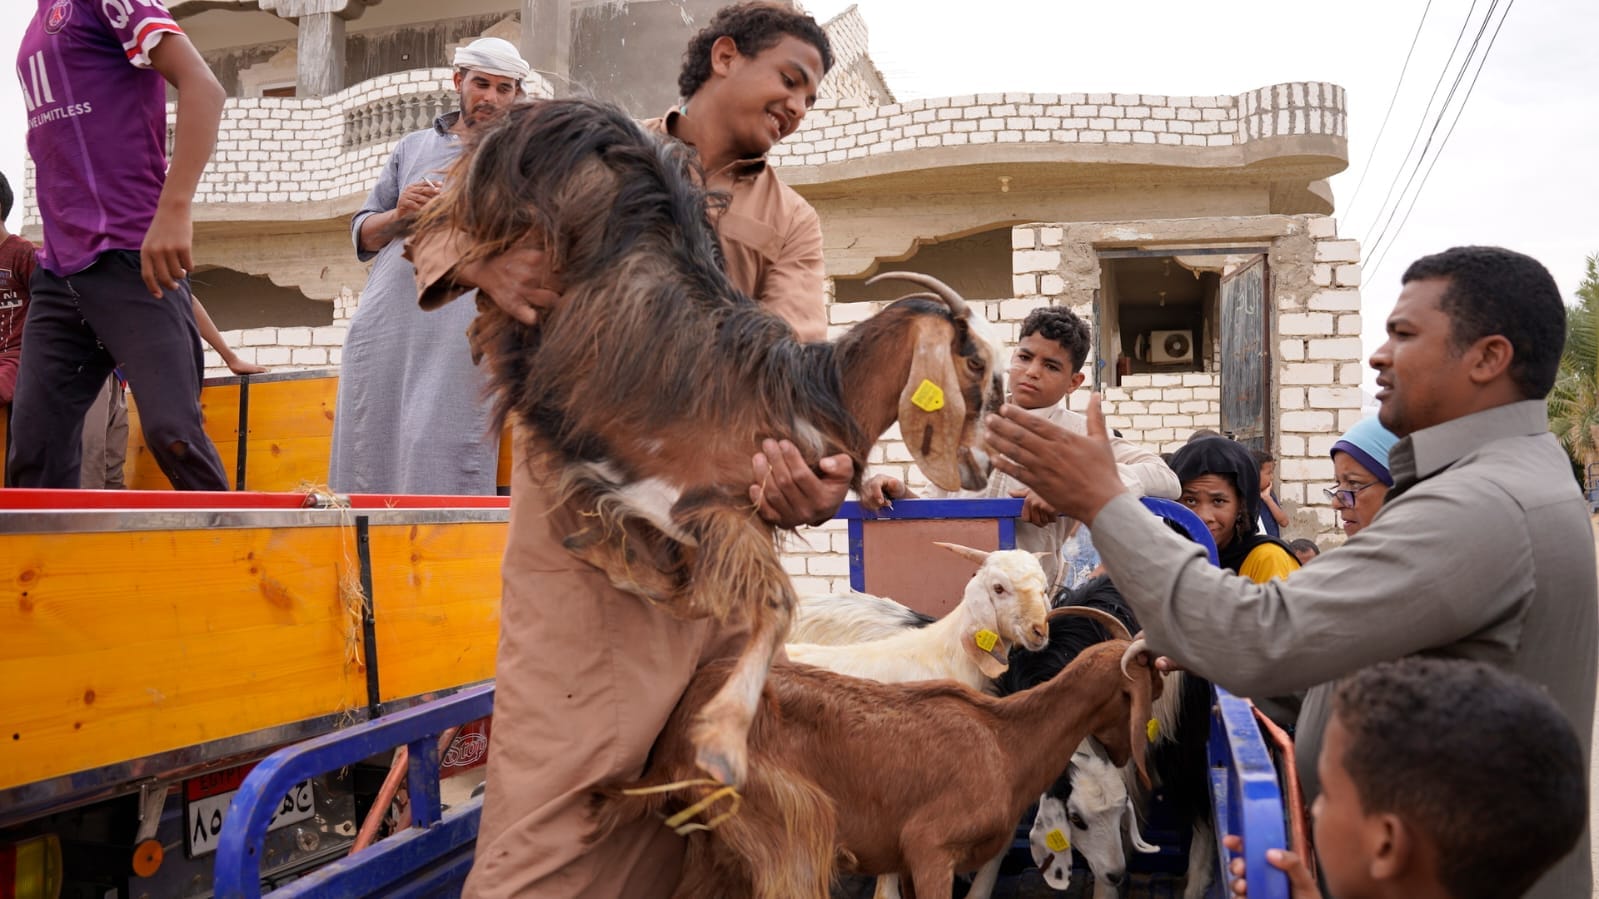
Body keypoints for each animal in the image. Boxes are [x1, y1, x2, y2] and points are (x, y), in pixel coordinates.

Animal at [415, 97, 1010, 783]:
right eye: (973, 362)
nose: (979, 466)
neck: (811, 391)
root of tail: (571, 113)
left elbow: (693, 588)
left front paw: (622, 569)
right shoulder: (703, 501)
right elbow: (775, 605)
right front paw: (723, 740)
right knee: (443, 246)